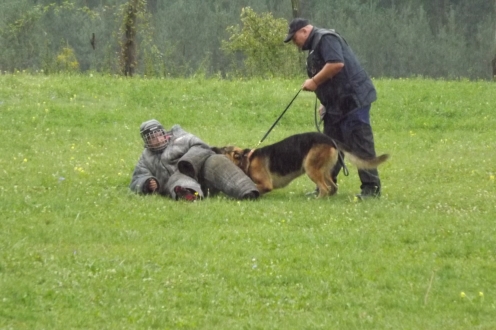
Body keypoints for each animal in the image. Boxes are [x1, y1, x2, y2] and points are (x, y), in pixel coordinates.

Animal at [211, 132, 390, 197]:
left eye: (223, 149)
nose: (212, 147)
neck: (247, 158)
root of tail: (330, 139)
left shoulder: (266, 184)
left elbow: (256, 186)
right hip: (324, 171)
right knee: (332, 187)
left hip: (311, 168)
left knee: (325, 188)